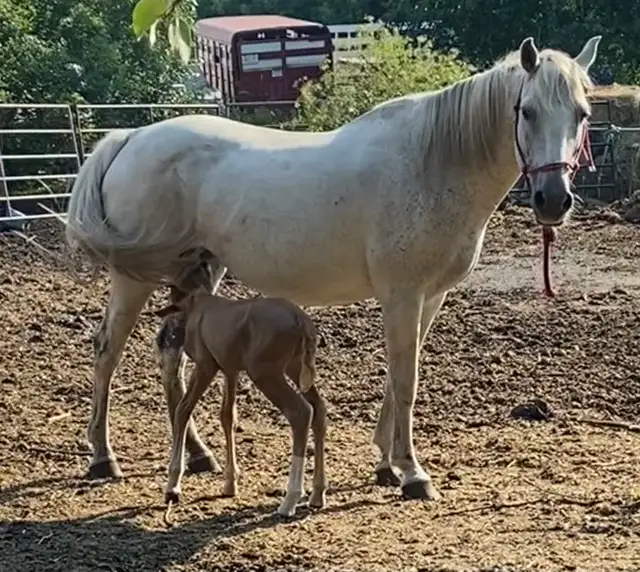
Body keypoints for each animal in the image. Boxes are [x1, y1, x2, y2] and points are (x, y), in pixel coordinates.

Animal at [65, 35, 602, 501]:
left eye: (582, 114)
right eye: (527, 111)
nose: (553, 200)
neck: (433, 162)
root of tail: (131, 137)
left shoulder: (428, 297)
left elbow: (399, 376)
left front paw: (386, 463)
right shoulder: (402, 295)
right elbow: (405, 381)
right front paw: (413, 472)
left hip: (197, 272)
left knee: (171, 353)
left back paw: (198, 455)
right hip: (131, 279)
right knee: (107, 352)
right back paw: (103, 457)